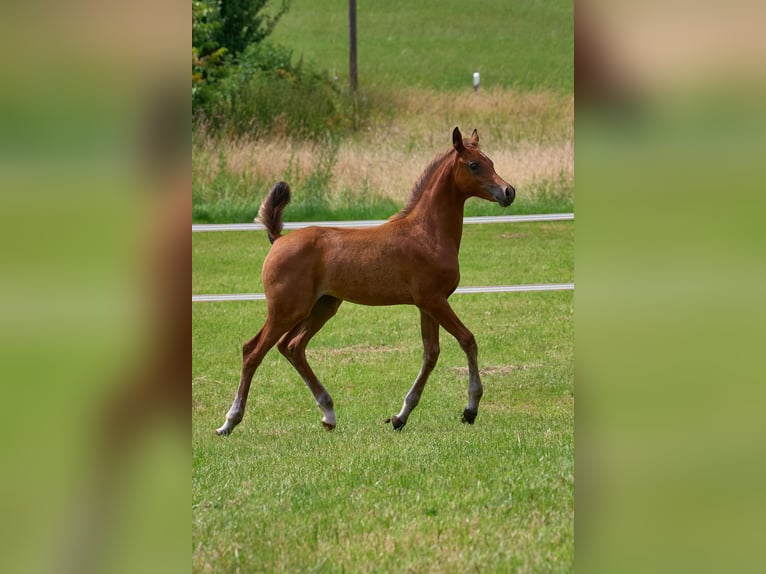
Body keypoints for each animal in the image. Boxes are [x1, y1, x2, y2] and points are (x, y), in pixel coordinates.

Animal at [216, 128, 516, 436]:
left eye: (491, 162)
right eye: (474, 165)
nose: (508, 192)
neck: (426, 232)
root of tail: (278, 239)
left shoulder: (427, 304)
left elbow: (430, 354)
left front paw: (400, 416)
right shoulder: (434, 301)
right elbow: (467, 340)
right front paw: (470, 409)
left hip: (323, 306)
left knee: (292, 346)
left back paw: (328, 413)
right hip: (286, 309)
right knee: (253, 351)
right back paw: (230, 421)